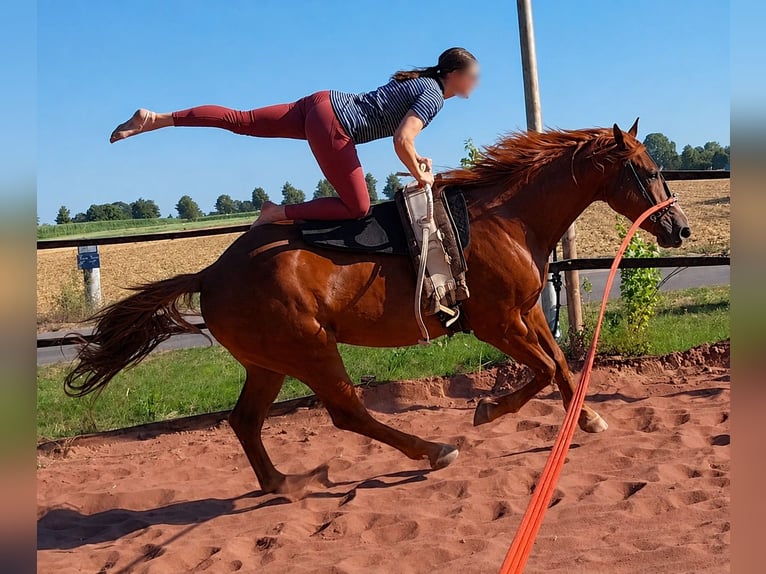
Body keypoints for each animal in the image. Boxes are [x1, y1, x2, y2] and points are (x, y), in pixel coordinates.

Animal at [64, 120, 691, 494]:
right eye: (648, 170)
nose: (680, 228)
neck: (505, 220)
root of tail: (211, 274)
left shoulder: (529, 312)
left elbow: (560, 364)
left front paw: (588, 418)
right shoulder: (495, 323)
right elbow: (540, 370)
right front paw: (488, 410)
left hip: (268, 363)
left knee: (245, 421)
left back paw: (283, 485)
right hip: (312, 350)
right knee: (348, 413)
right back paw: (436, 451)